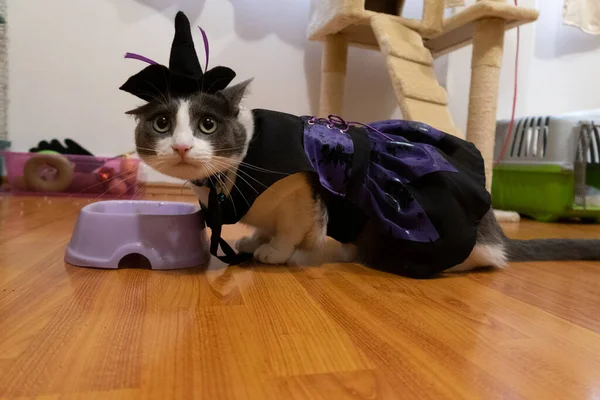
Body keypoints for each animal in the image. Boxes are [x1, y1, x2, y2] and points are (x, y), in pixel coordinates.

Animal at [129, 79, 600, 276]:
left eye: (207, 125)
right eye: (162, 124)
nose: (182, 147)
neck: (225, 184)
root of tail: (495, 235)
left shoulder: (303, 192)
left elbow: (293, 226)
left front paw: (275, 251)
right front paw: (255, 239)